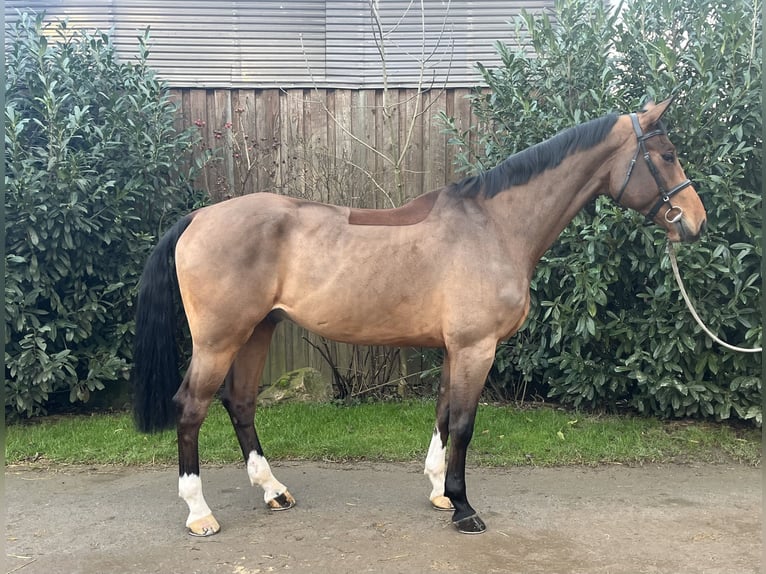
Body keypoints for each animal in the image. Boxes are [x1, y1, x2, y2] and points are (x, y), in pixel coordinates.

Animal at [134, 98, 708, 536]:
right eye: (668, 155)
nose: (696, 223)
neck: (494, 225)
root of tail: (198, 218)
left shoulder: (456, 349)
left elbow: (443, 416)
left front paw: (439, 492)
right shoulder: (477, 347)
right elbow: (465, 425)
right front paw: (464, 508)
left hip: (258, 330)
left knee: (241, 402)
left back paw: (273, 491)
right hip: (219, 339)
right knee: (191, 408)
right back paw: (200, 513)